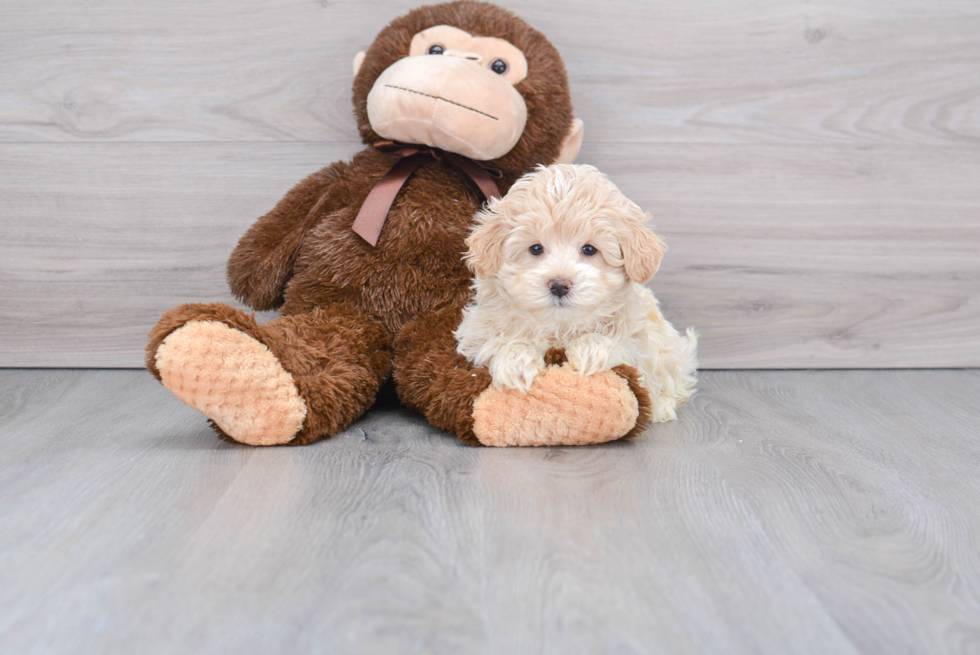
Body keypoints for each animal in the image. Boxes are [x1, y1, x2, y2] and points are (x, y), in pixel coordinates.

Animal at [458, 164, 696, 426]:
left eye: (589, 249)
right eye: (536, 248)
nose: (559, 285)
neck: (561, 327)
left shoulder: (642, 340)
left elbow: (626, 347)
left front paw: (592, 349)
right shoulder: (477, 331)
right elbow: (499, 340)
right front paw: (515, 360)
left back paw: (661, 407)